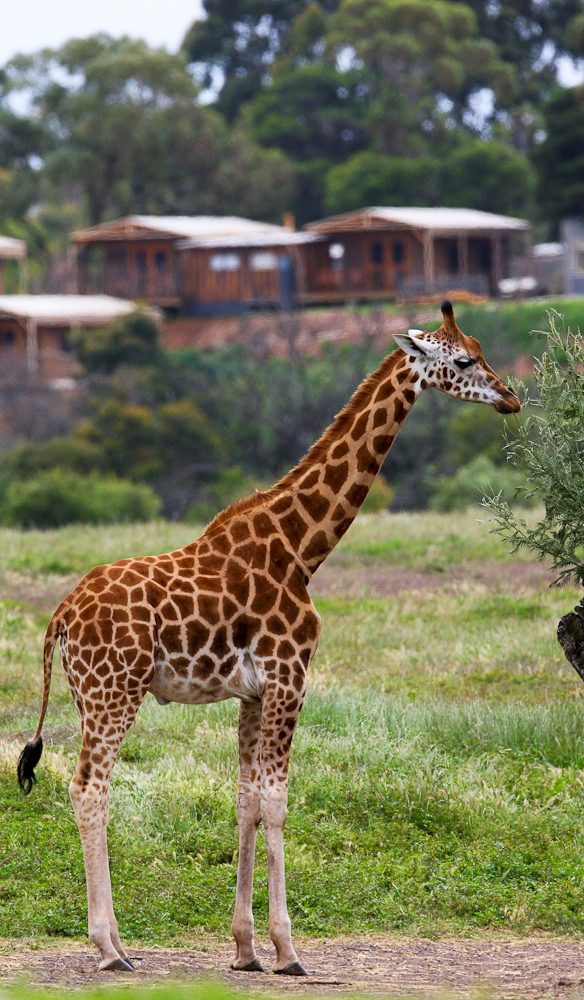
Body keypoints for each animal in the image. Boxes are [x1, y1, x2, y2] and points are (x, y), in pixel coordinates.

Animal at [18, 301, 520, 975]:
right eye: (464, 360)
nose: (511, 397)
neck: (302, 548)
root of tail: (62, 615)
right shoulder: (290, 676)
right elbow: (278, 801)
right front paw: (288, 950)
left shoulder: (253, 694)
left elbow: (246, 801)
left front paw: (245, 949)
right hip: (114, 692)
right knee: (89, 789)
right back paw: (109, 948)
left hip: (87, 694)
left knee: (90, 787)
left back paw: (117, 944)